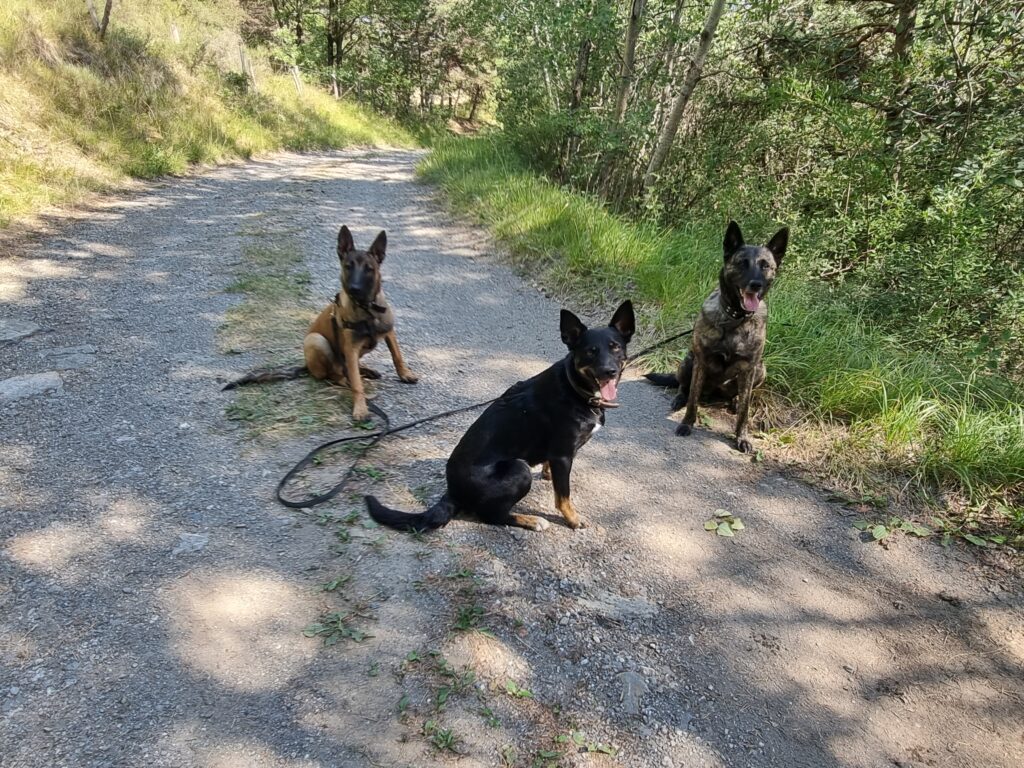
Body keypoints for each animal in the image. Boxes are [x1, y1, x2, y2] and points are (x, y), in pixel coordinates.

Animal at [364, 303, 634, 536]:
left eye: (615, 347)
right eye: (591, 352)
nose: (609, 371)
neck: (574, 387)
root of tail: (453, 490)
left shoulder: (558, 454)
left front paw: (547, 474)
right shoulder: (562, 455)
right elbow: (563, 497)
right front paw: (573, 519)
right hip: (519, 468)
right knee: (491, 515)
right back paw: (532, 520)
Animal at [643, 219, 786, 454]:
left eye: (766, 265)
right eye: (742, 263)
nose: (755, 284)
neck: (735, 319)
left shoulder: (750, 368)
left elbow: (745, 413)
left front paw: (742, 437)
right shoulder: (701, 361)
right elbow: (693, 400)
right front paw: (686, 423)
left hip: (760, 369)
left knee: (739, 396)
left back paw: (734, 401)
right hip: (688, 361)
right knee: (684, 386)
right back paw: (679, 398)